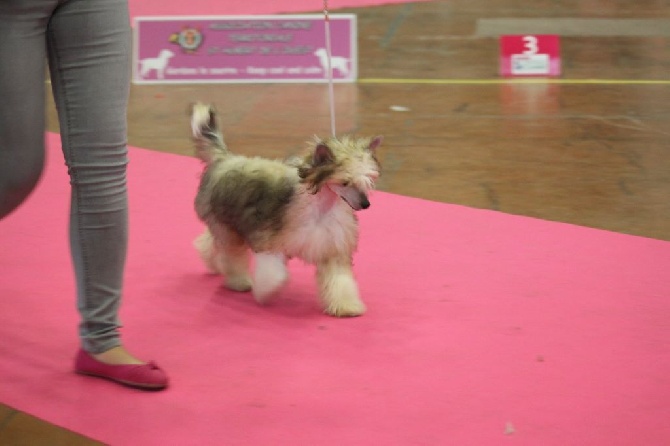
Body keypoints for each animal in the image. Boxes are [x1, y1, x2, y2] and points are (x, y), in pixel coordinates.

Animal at [189, 102, 384, 316]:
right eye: (344, 182)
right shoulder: (269, 242)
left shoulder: (332, 248)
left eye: (368, 180)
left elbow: (340, 280)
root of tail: (223, 159)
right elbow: (275, 274)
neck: (320, 208)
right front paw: (267, 293)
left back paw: (211, 262)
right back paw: (239, 281)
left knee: (210, 243)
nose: (365, 204)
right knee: (231, 254)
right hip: (226, 225)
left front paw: (346, 306)